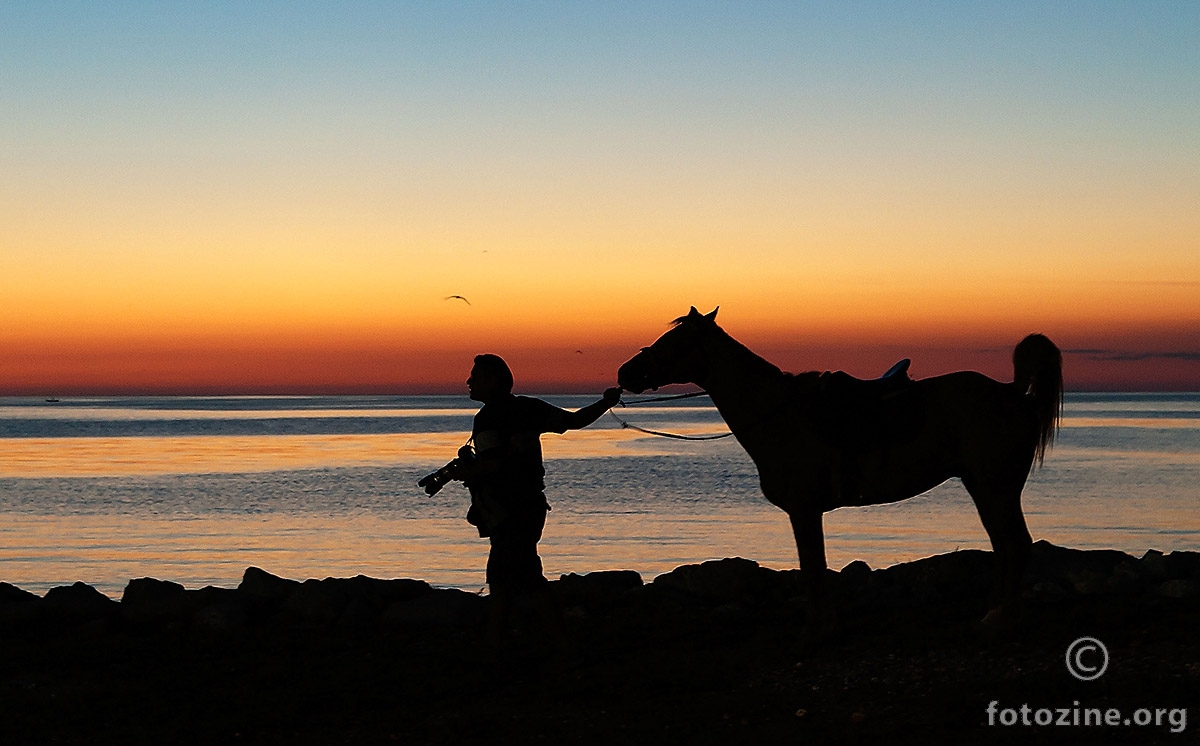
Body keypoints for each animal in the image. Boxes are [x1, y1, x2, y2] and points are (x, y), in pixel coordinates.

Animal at [619, 305, 1060, 623]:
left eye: (674, 340)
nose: (626, 372)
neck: (780, 416)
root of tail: (1012, 392)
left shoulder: (804, 510)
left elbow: (814, 570)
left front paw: (819, 625)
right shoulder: (805, 511)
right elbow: (813, 570)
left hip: (995, 487)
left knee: (1015, 544)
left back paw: (1000, 615)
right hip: (983, 486)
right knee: (1005, 546)